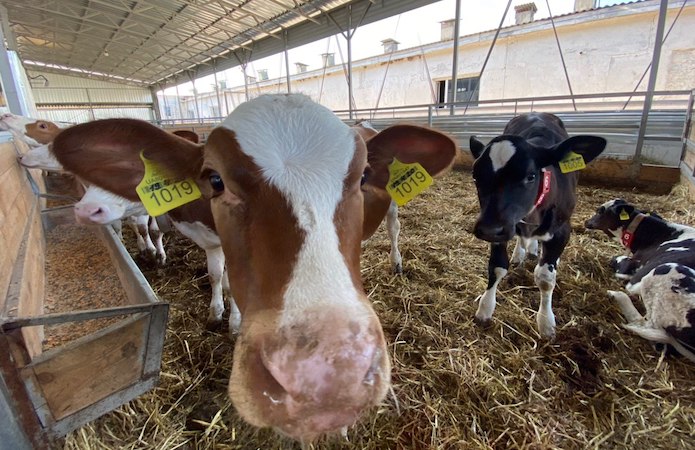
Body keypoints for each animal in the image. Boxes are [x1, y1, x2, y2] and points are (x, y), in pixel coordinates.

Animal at [51, 93, 460, 442]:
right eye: (215, 179)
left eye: (363, 176)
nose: (326, 379)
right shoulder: (211, 239)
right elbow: (218, 274)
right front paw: (217, 311)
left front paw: (230, 320)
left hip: (394, 210)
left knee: (393, 228)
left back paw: (396, 262)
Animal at [470, 111, 608, 338]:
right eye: (475, 176)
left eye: (530, 176)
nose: (488, 229)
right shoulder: (500, 229)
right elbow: (497, 266)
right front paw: (485, 309)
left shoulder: (562, 231)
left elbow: (545, 278)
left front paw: (546, 323)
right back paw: (521, 252)